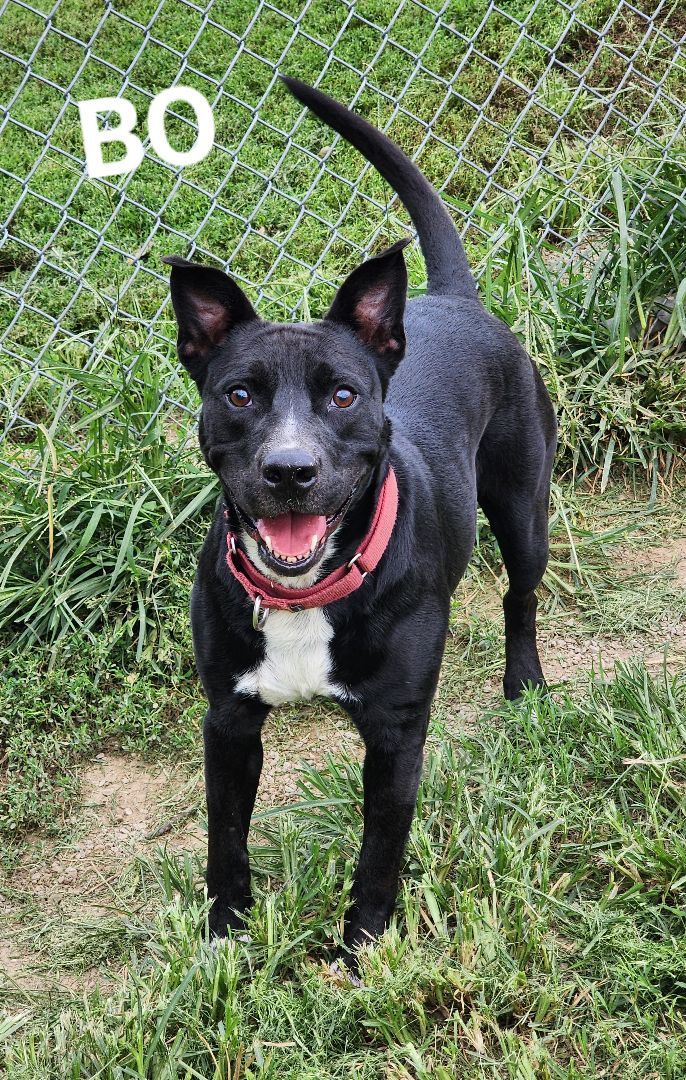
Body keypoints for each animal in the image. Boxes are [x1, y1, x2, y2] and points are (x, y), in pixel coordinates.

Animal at [165, 76, 557, 972]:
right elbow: (225, 843)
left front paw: (362, 952)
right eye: (239, 394)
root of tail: (451, 298)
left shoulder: (396, 735)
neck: (306, 597)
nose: (289, 470)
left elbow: (380, 852)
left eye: (343, 394)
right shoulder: (228, 725)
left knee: (520, 597)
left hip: (526, 511)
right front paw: (225, 938)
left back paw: (524, 684)